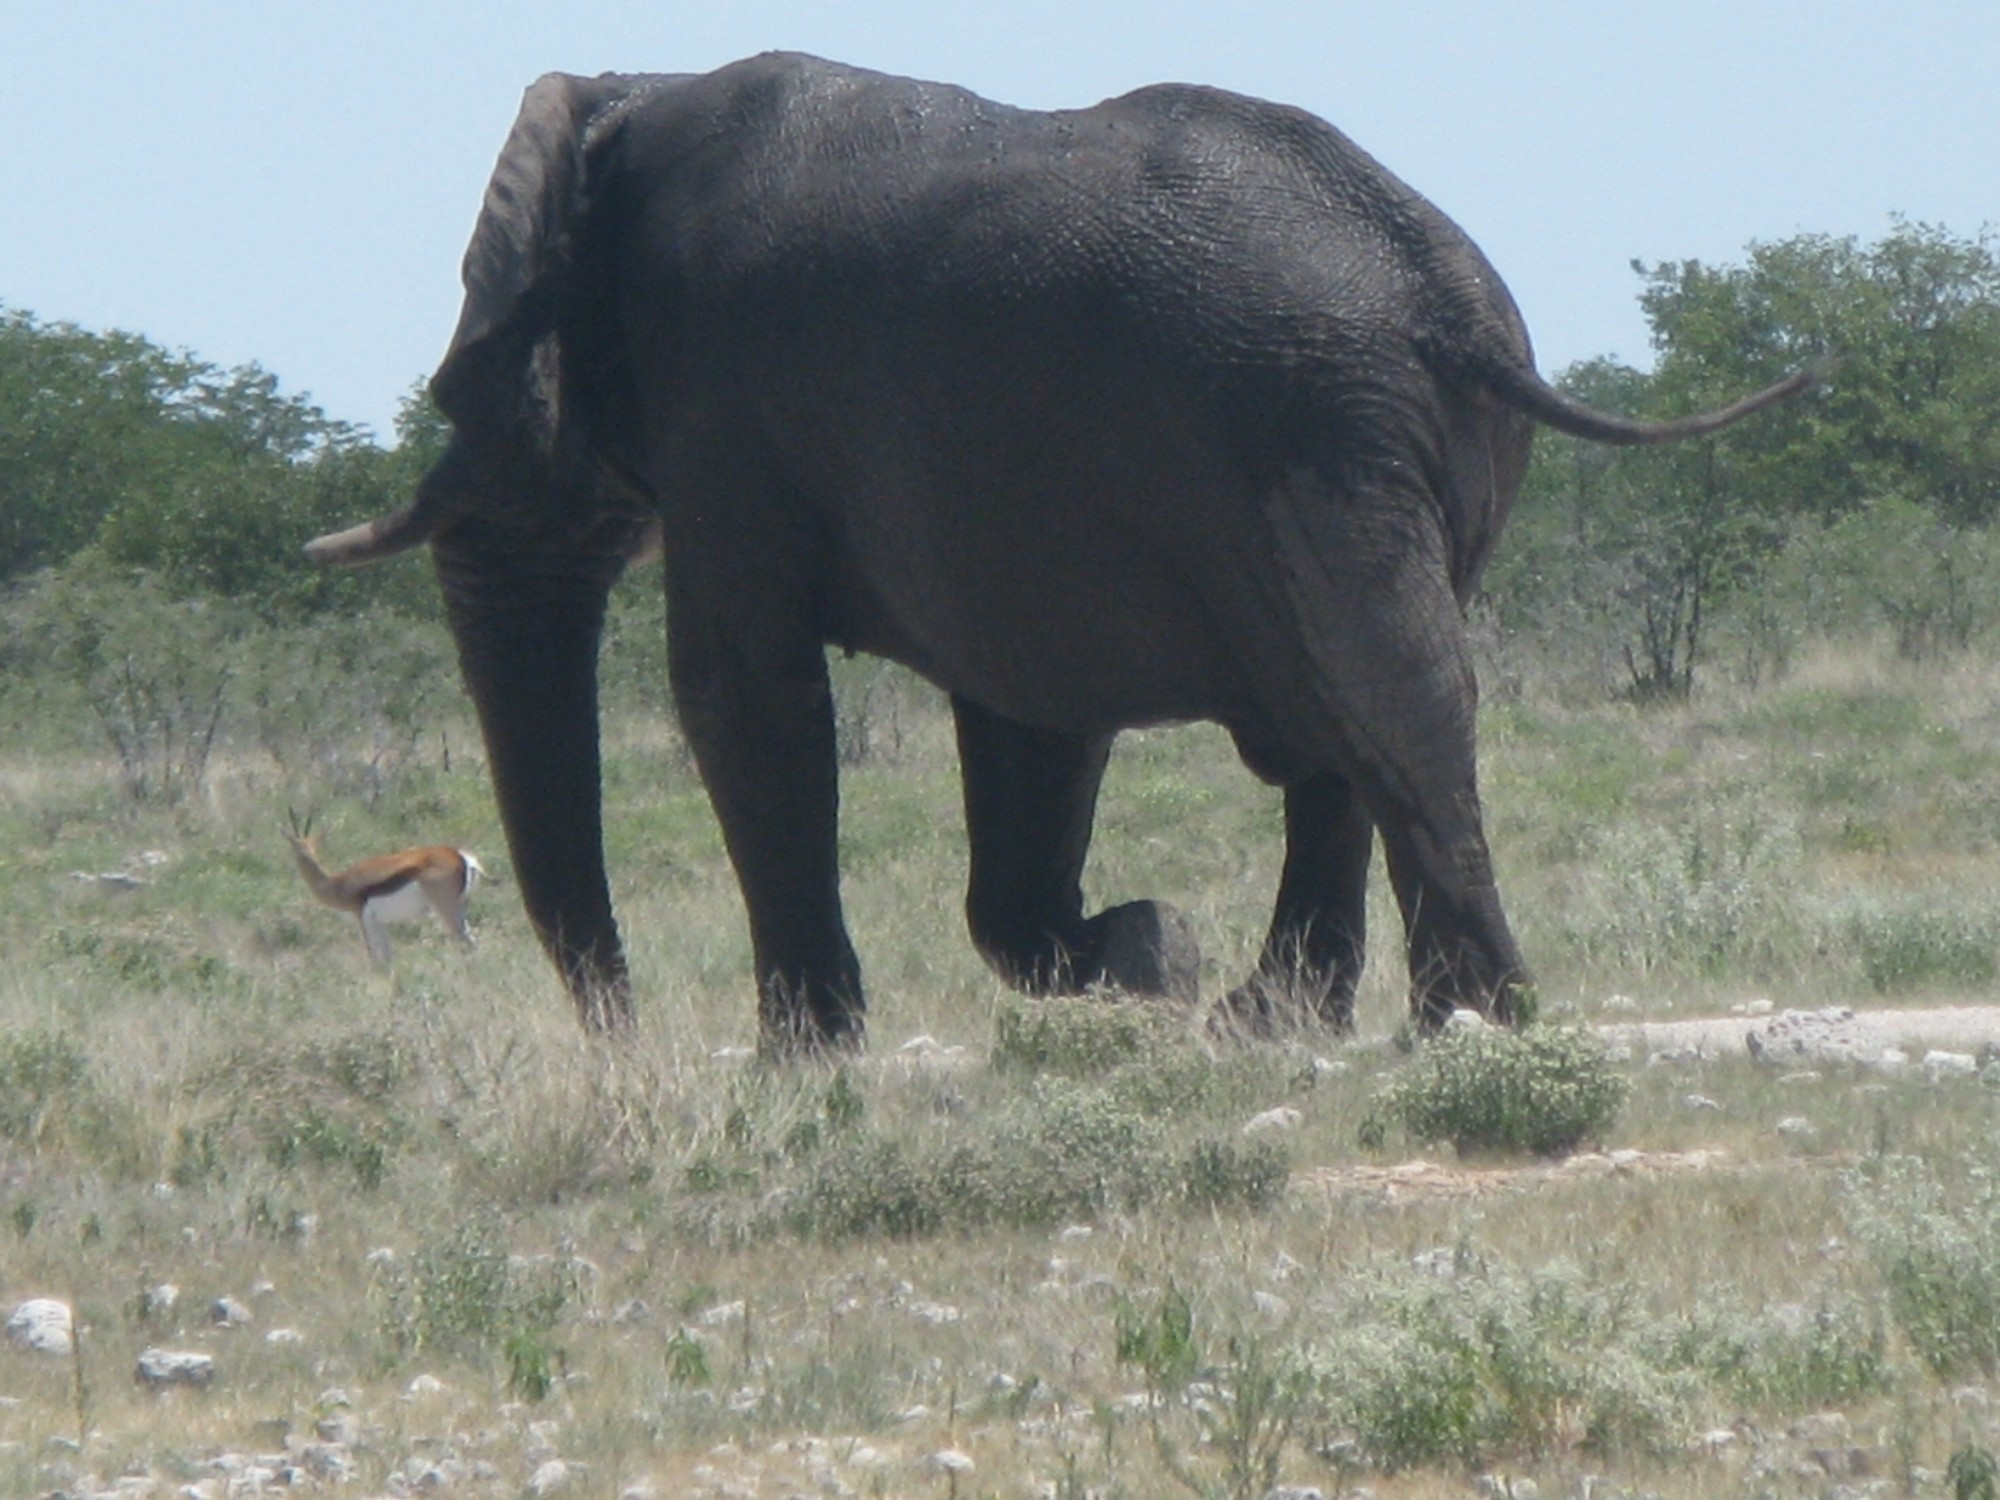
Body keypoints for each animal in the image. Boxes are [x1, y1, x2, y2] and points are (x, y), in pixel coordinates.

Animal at [304, 53, 1824, 1048]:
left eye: (471, 374)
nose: (630, 1046)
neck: (629, 92)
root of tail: (1445, 302)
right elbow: (1025, 720)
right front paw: (1148, 954)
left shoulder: (728, 401)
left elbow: (742, 695)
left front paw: (808, 1062)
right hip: (1379, 447)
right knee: (1347, 723)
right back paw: (1276, 1019)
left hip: (1323, 431)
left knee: (1390, 697)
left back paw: (1468, 1026)